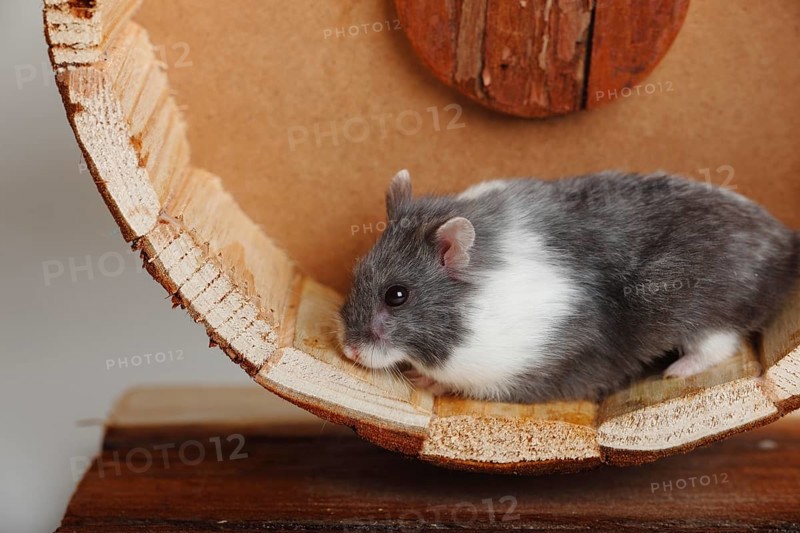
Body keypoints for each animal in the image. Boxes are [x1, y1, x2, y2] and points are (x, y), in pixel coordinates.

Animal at [337, 170, 800, 403]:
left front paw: (426, 381)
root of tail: (785, 241)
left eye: (397, 296)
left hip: (699, 309)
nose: (349, 352)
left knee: (720, 344)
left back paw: (675, 371)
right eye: (358, 271)